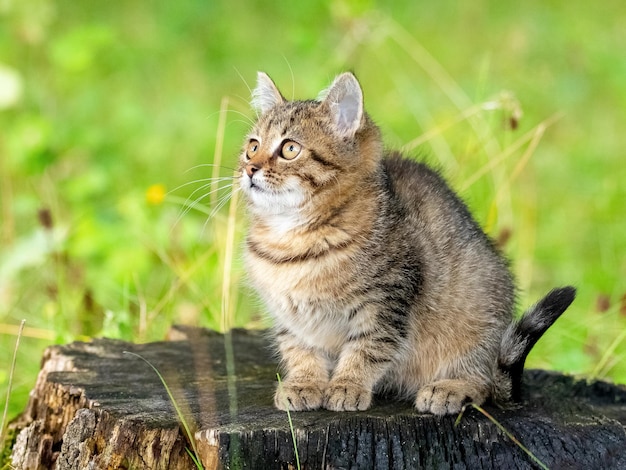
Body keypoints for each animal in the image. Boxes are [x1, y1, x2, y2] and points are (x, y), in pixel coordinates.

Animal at [239, 71, 576, 414]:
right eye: (252, 146)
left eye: (290, 149)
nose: (249, 168)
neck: (290, 235)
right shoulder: (290, 317)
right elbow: (299, 349)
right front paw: (303, 383)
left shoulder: (387, 300)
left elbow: (367, 348)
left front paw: (348, 385)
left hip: (478, 316)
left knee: (484, 385)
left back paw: (452, 388)